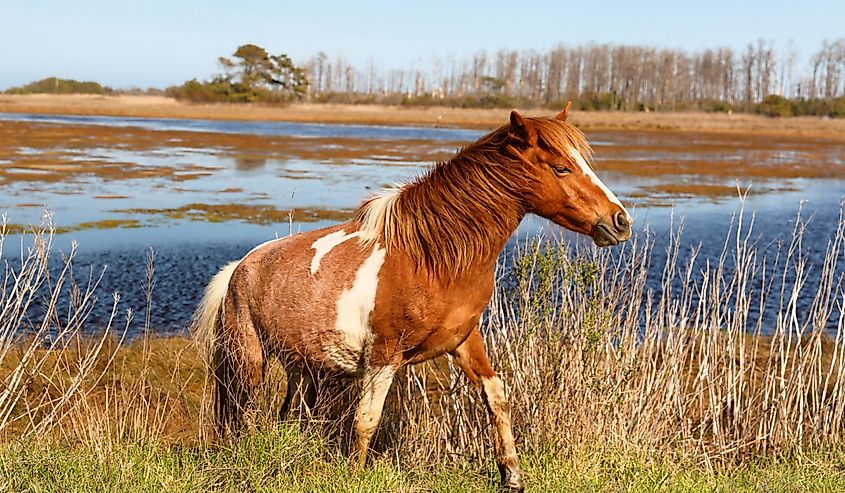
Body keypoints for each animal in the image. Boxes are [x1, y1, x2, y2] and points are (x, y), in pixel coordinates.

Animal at [191, 105, 628, 490]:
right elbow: (367, 420)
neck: (431, 258)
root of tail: (239, 268)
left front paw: (512, 477)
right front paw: (354, 477)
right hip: (247, 360)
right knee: (243, 415)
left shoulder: (464, 341)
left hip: (303, 367)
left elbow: (496, 396)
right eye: (562, 167)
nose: (620, 221)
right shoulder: (383, 357)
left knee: (286, 414)